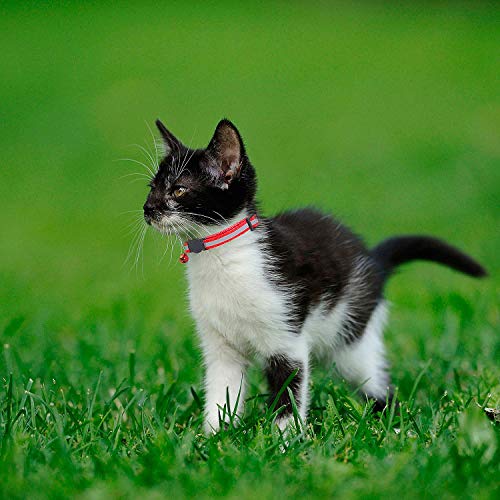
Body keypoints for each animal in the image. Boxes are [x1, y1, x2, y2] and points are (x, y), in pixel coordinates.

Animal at [143, 118, 486, 434]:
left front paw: (282, 442)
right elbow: (222, 392)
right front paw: (215, 438)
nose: (148, 209)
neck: (223, 257)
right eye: (152, 188)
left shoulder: (287, 338)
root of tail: (373, 262)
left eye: (178, 189)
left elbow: (289, 393)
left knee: (377, 383)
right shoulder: (220, 347)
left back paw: (393, 421)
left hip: (350, 340)